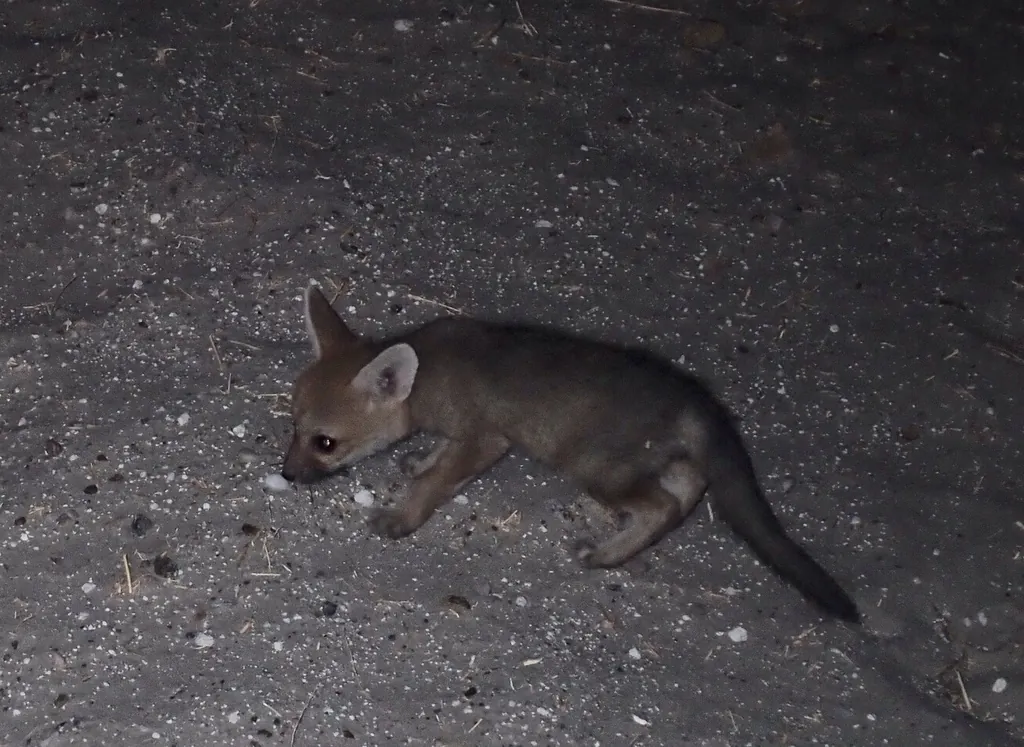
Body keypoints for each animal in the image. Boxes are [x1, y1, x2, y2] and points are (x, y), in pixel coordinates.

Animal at [280, 285, 861, 624]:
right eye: (293, 427)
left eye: (324, 443)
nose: (285, 474)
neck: (432, 373)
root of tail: (693, 395)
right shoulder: (463, 436)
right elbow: (436, 461)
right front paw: (418, 462)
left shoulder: (486, 439)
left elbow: (436, 484)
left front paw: (402, 518)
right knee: (687, 494)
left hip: (598, 474)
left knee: (663, 507)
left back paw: (605, 556)